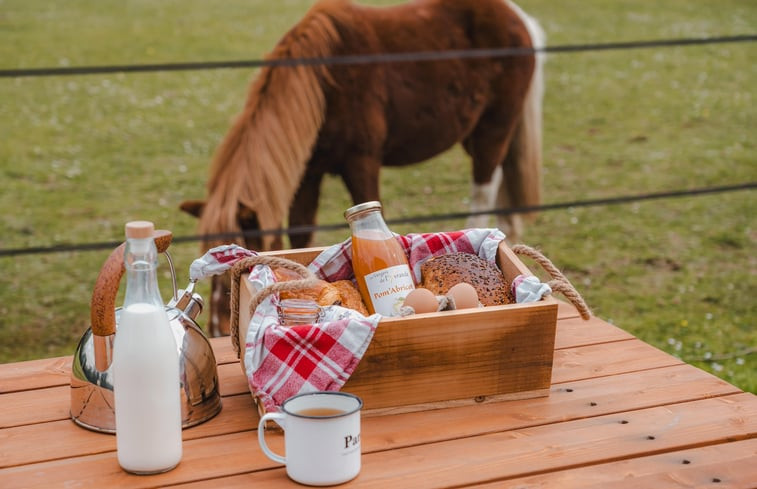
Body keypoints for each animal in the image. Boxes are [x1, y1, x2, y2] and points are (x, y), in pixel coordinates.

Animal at [180, 0, 544, 336]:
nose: (218, 330)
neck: (325, 83)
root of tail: (516, 16)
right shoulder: (308, 174)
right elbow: (299, 232)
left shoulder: (362, 163)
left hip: (494, 130)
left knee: (484, 189)